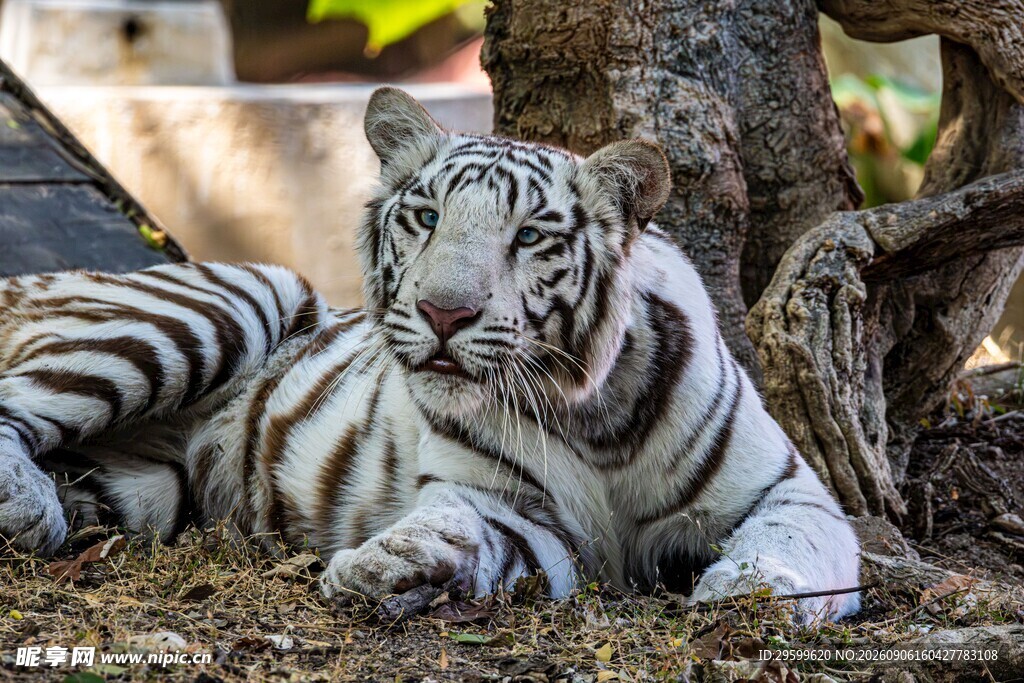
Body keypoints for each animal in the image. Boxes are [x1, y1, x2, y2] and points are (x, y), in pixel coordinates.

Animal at [0, 87, 860, 621]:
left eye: (530, 235)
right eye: (426, 216)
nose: (445, 312)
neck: (597, 420)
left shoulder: (791, 492)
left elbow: (797, 544)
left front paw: (751, 590)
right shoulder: (513, 504)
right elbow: (461, 519)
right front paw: (378, 560)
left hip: (151, 481)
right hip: (231, 299)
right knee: (15, 403)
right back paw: (28, 504)